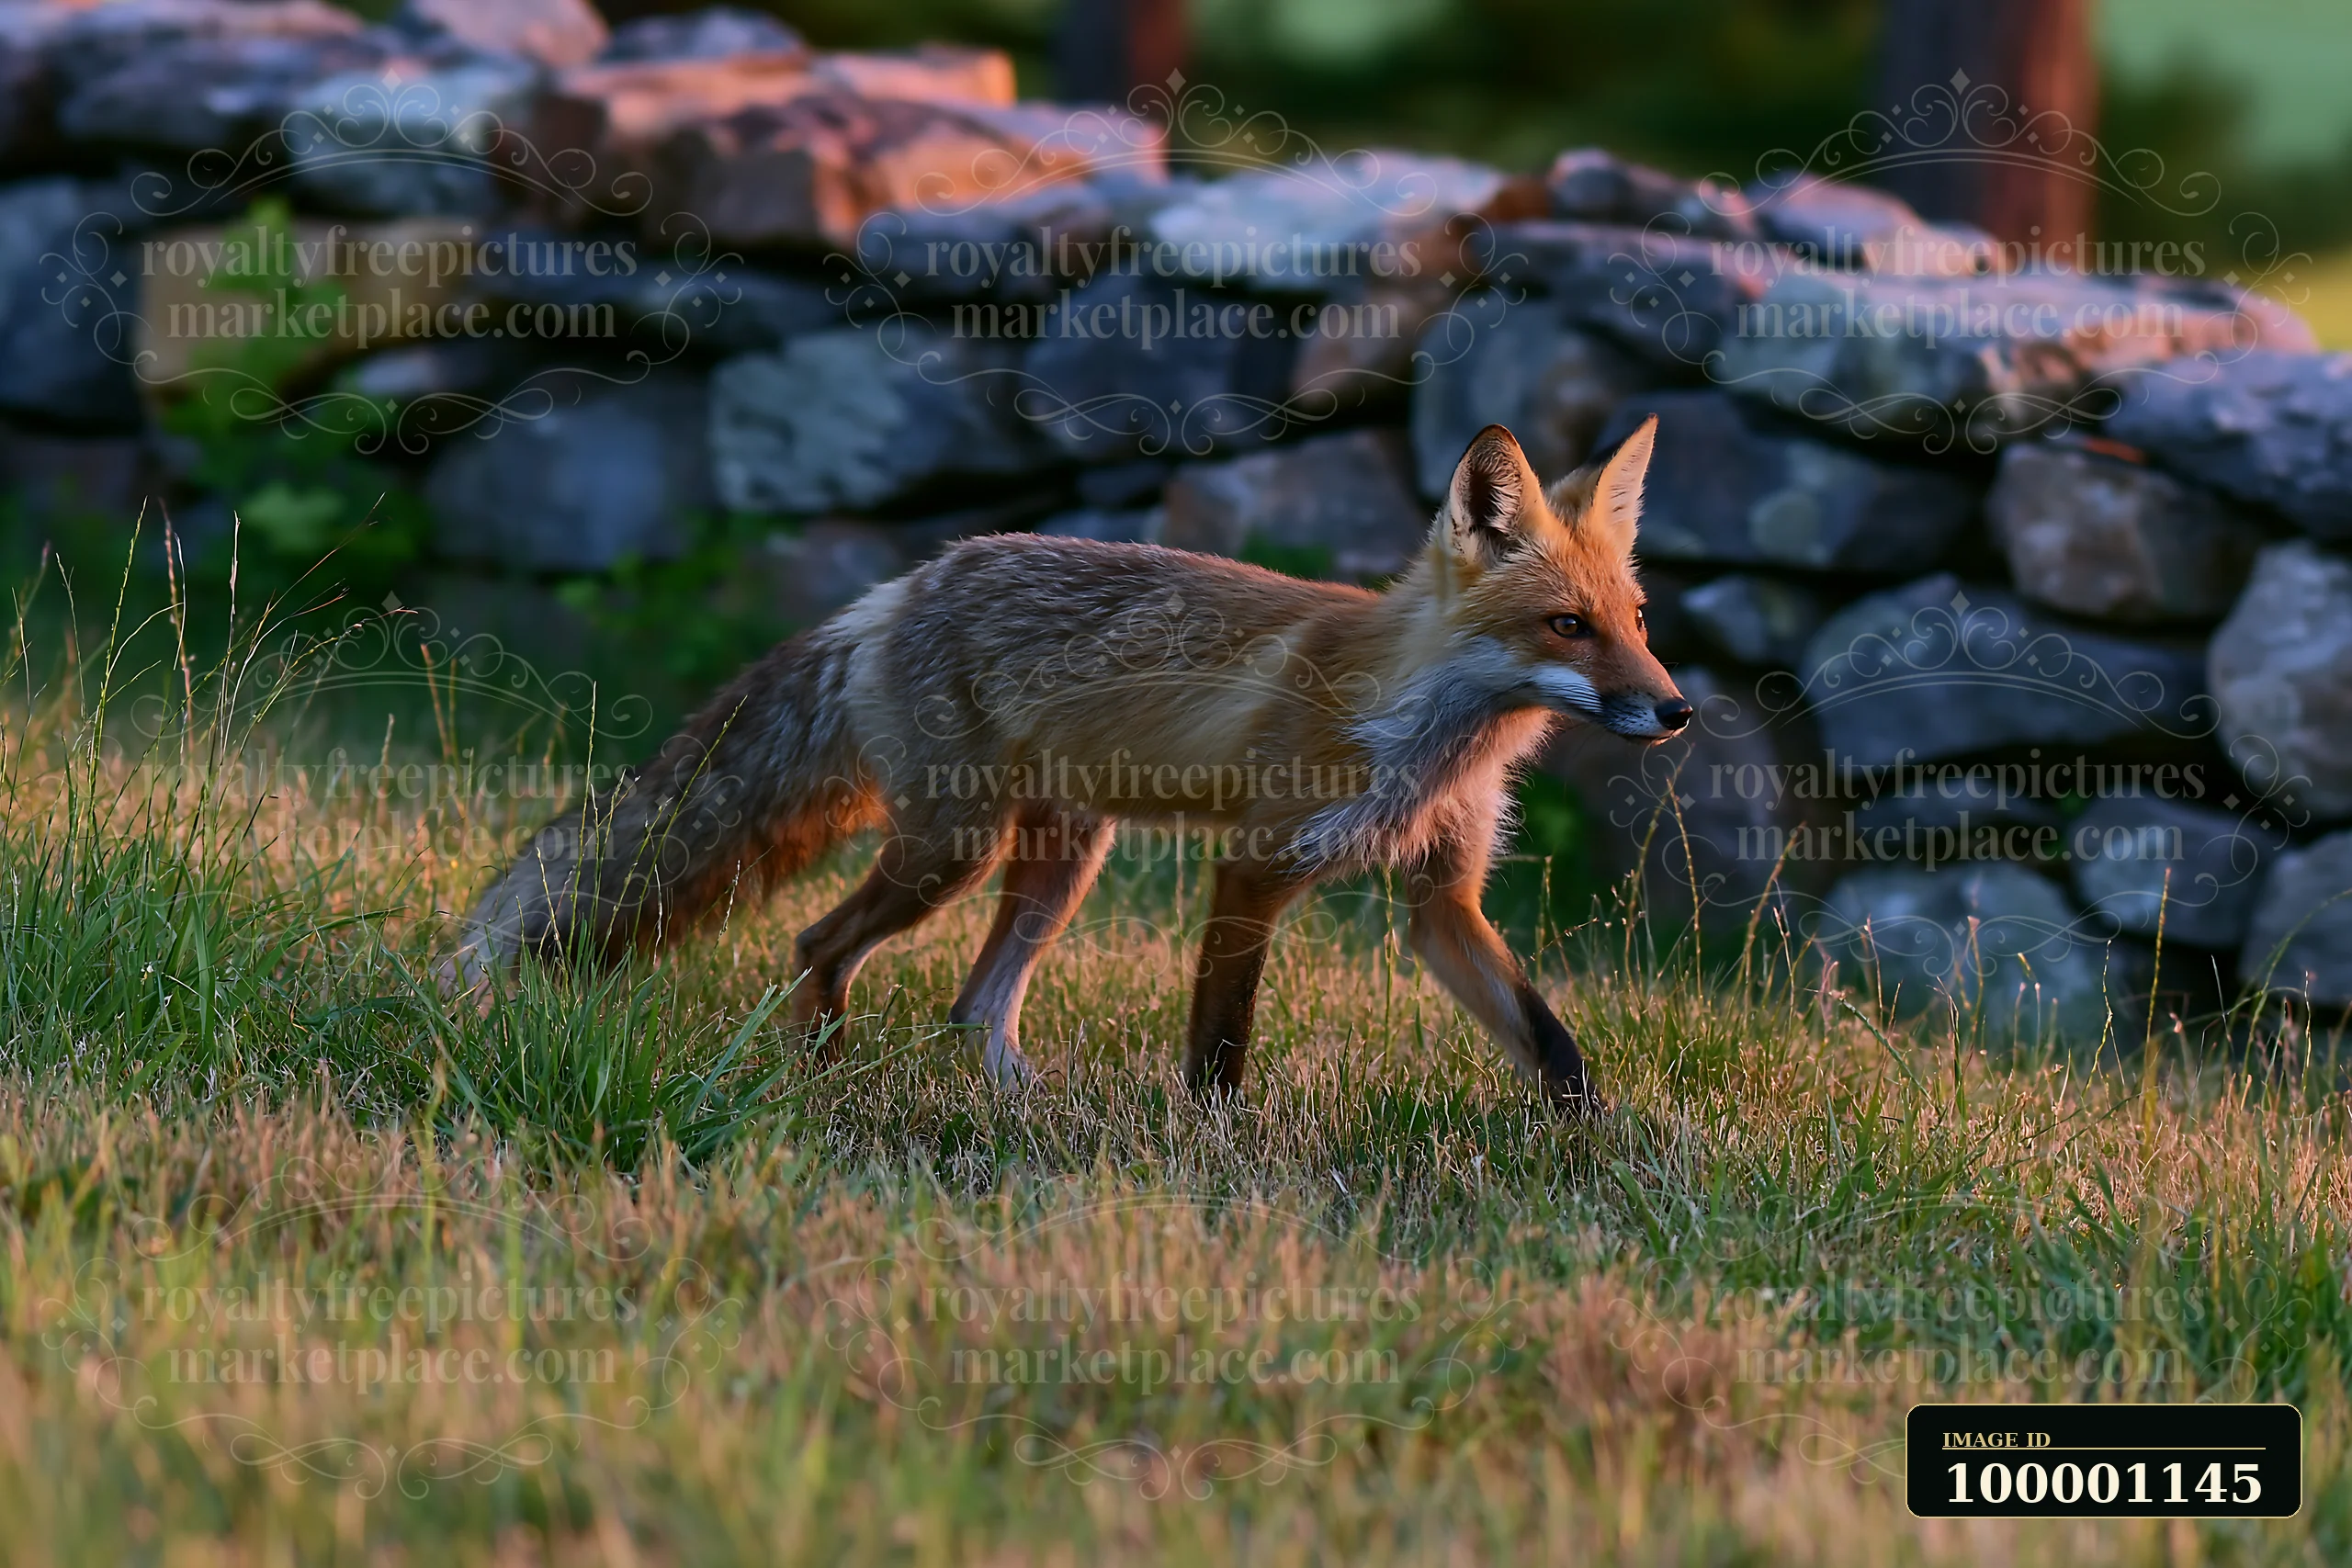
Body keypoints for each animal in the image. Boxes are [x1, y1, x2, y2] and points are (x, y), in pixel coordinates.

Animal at [450, 418, 1691, 1111]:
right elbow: (1220, 1045)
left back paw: (1013, 1104)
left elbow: (1552, 1043)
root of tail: (899, 586)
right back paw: (822, 1073)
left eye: (1634, 620)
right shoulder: (1254, 867)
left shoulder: (1441, 900)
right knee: (818, 943)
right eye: (1566, 627)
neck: (1426, 738)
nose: (1675, 711)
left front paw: (1607, 1150)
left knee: (972, 1008)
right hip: (951, 851)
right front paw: (1219, 1149)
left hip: (1062, 859)